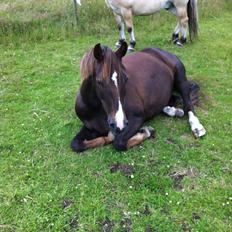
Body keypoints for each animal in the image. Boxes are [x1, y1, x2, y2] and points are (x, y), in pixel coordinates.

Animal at [70, 41, 205, 152]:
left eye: (125, 78)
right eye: (99, 81)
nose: (119, 123)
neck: (96, 109)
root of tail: (160, 51)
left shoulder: (137, 118)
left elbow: (118, 142)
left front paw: (146, 132)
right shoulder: (90, 127)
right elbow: (76, 144)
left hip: (180, 78)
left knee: (188, 101)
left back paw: (196, 126)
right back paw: (172, 110)